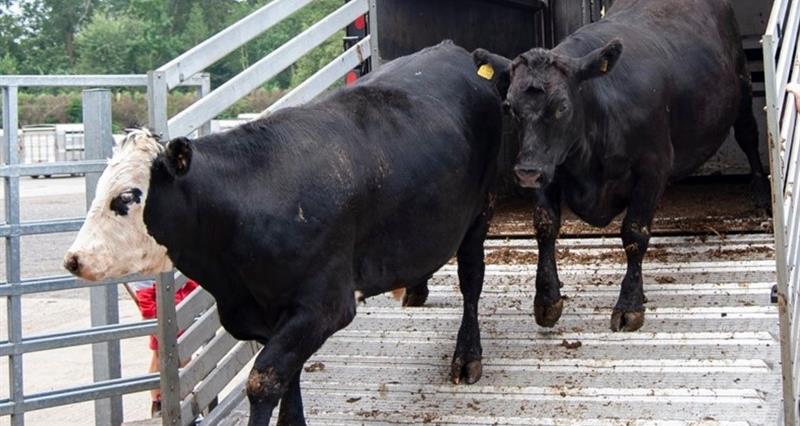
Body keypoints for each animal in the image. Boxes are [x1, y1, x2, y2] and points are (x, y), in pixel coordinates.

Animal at [63, 41, 502, 425]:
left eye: (127, 197)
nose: (73, 259)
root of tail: (452, 50)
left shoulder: (322, 306)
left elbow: (264, 380)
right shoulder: (264, 316)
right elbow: (287, 377)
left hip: (479, 214)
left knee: (471, 280)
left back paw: (467, 356)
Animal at [472, 0, 770, 332]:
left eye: (562, 106)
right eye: (509, 106)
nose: (526, 172)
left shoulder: (653, 167)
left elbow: (634, 233)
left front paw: (629, 304)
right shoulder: (549, 169)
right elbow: (545, 226)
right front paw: (548, 300)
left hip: (742, 86)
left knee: (748, 134)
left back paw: (760, 194)